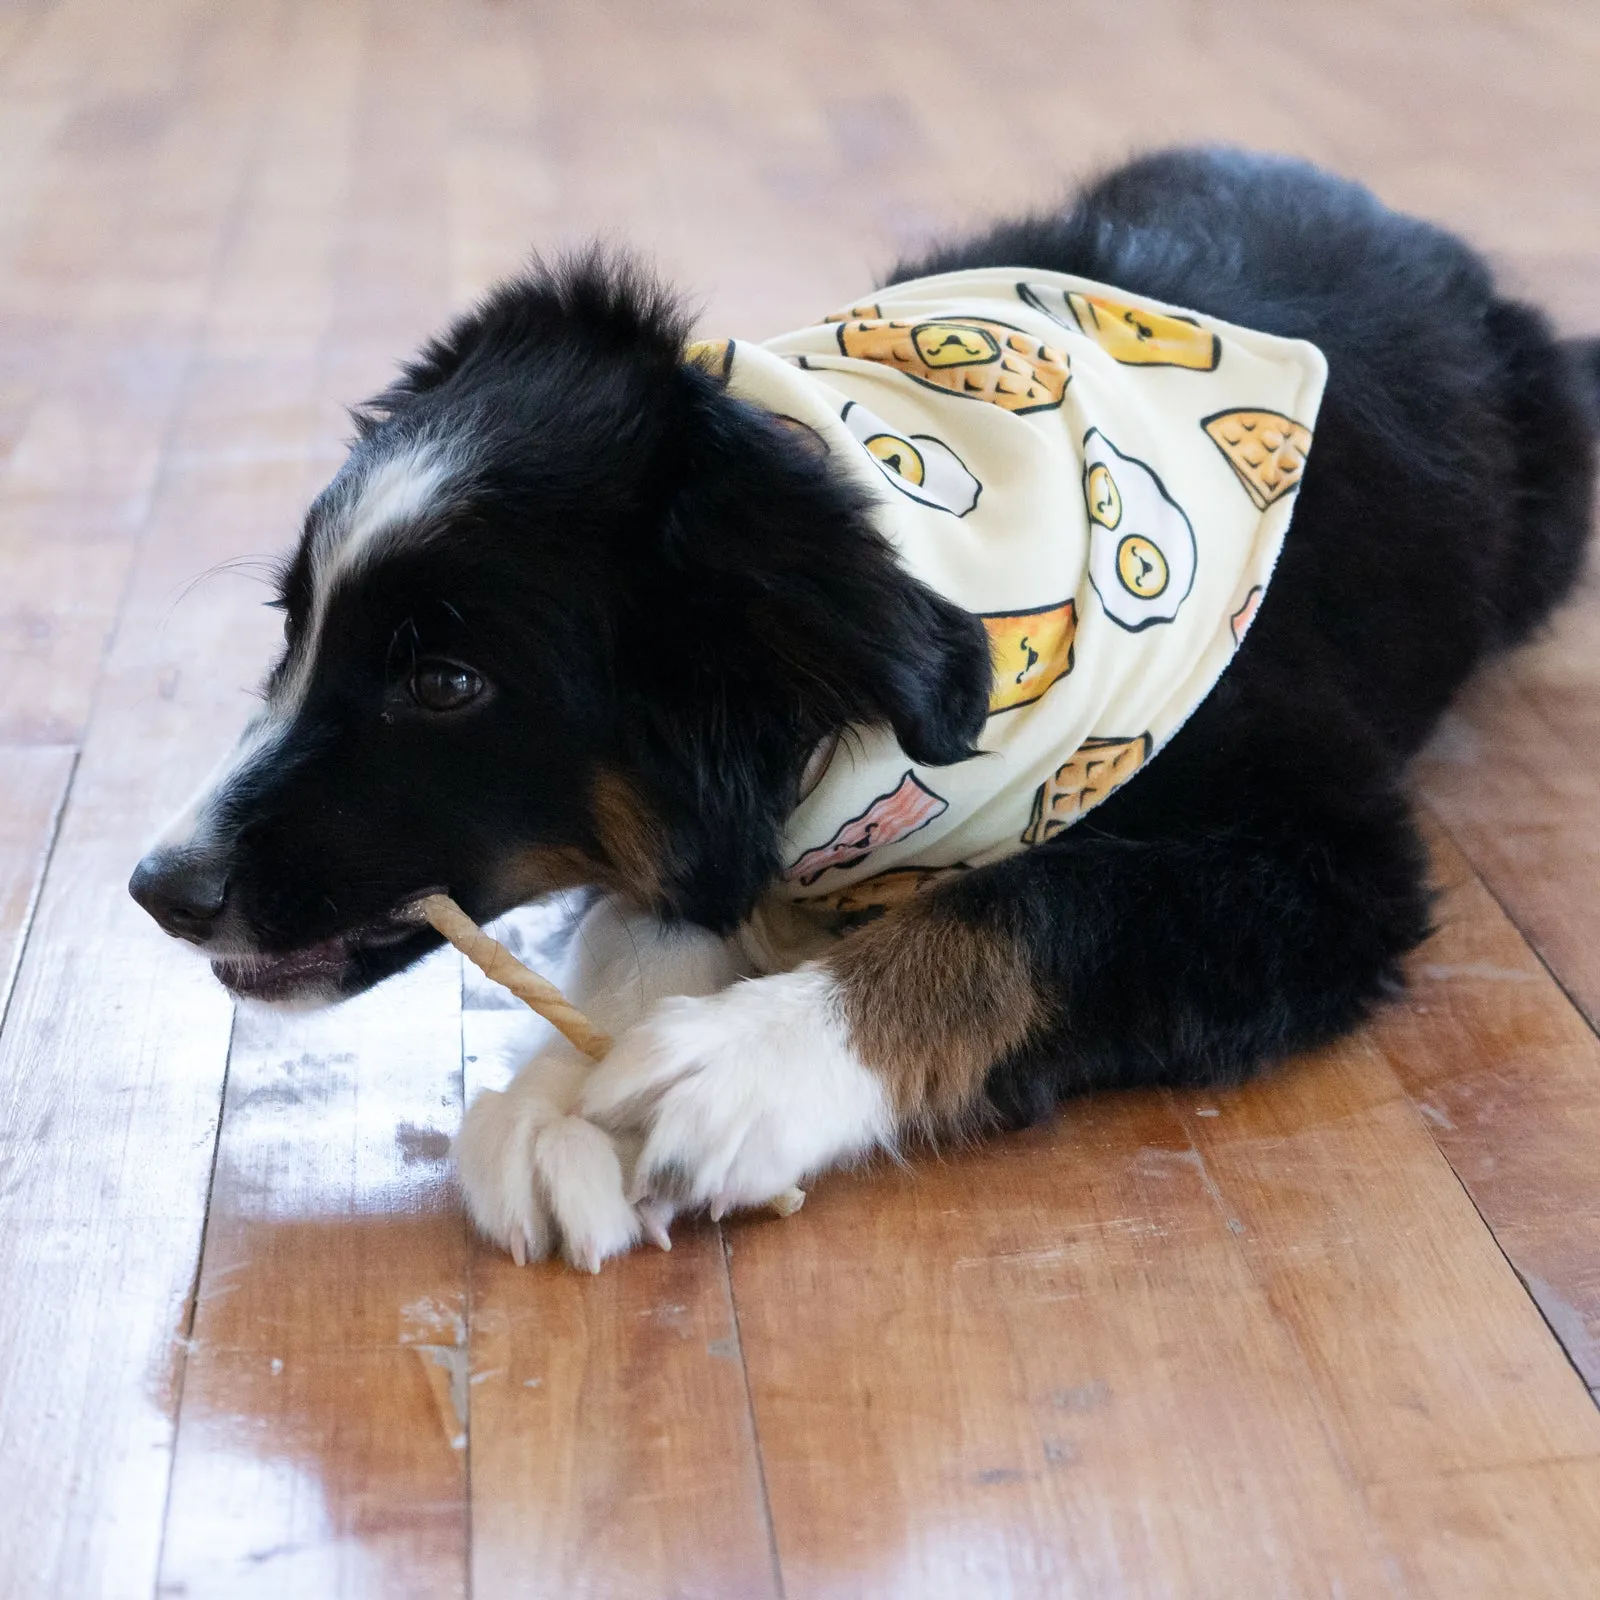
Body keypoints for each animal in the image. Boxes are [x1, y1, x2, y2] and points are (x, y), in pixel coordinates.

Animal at [131, 152, 1593, 1273]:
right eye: (292, 628)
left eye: (445, 684)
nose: (161, 888)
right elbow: (649, 915)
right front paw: (563, 1101)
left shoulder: (1323, 856)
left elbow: (1028, 907)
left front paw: (741, 1067)